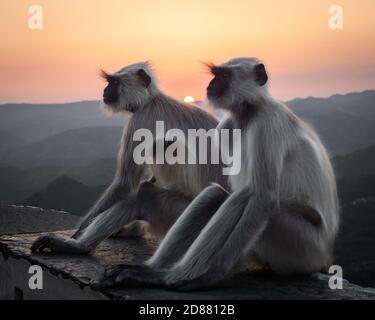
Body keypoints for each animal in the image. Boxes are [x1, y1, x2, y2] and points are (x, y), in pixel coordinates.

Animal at [30, 61, 228, 254]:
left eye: (114, 82)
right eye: (109, 82)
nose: (105, 90)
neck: (150, 101)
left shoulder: (140, 121)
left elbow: (125, 183)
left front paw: (77, 234)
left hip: (182, 216)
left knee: (142, 193)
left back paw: (78, 247)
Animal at [92, 57, 340, 290]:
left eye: (113, 82)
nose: (105, 91)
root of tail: (323, 259)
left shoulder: (140, 120)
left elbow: (125, 182)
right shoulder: (226, 127)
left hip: (298, 244)